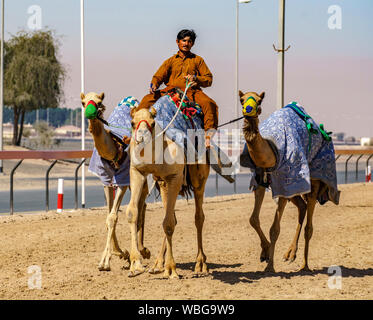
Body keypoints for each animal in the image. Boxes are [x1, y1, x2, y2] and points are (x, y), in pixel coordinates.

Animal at [80, 91, 150, 272]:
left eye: (99, 102)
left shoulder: (123, 181)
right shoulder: (106, 181)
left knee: (142, 203)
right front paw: (120, 253)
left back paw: (142, 250)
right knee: (142, 203)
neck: (114, 150)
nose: (90, 112)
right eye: (83, 102)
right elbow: (108, 217)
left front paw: (105, 262)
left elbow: (113, 217)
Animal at [125, 107, 209, 278]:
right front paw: (135, 265)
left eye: (152, 123)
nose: (141, 138)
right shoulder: (137, 171)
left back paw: (200, 264)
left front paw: (171, 269)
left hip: (199, 179)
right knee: (172, 216)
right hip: (163, 185)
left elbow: (169, 223)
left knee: (198, 217)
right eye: (132, 123)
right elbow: (132, 213)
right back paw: (157, 265)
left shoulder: (175, 177)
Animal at [240, 89, 338, 272]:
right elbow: (253, 219)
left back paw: (304, 265)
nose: (248, 109)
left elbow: (275, 229)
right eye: (241, 99)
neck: (272, 148)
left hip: (313, 182)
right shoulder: (261, 182)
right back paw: (290, 254)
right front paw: (265, 253)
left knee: (309, 225)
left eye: (259, 100)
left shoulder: (285, 183)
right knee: (302, 206)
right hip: (295, 188)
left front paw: (270, 267)